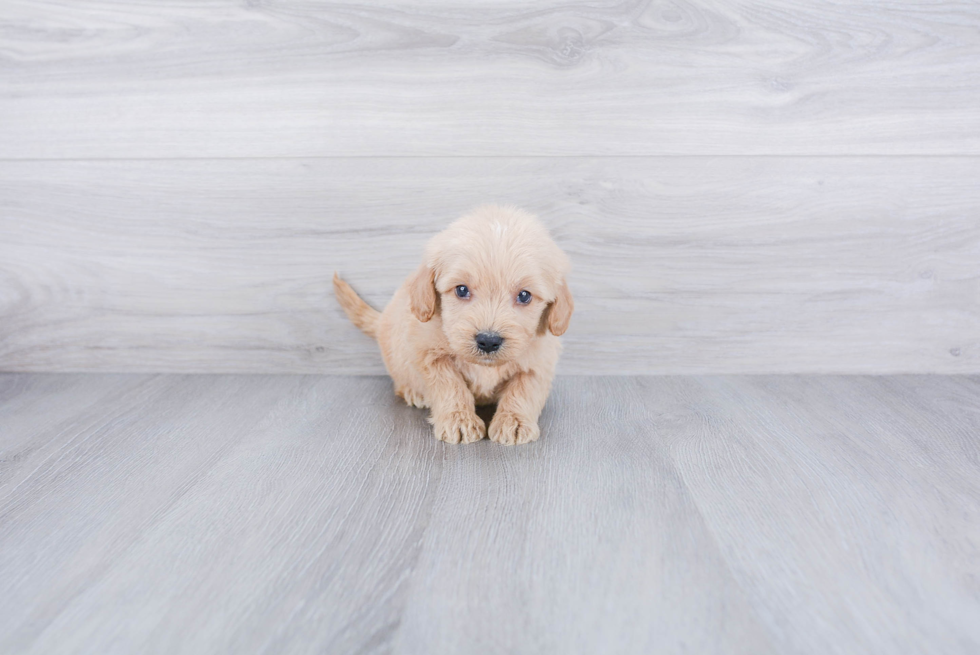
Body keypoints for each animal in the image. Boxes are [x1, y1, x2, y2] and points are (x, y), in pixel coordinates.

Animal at [334, 206, 572, 446]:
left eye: (524, 296)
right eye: (461, 290)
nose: (488, 341)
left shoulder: (539, 362)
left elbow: (524, 390)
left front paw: (514, 422)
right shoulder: (430, 354)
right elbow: (450, 386)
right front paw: (459, 420)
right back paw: (413, 392)